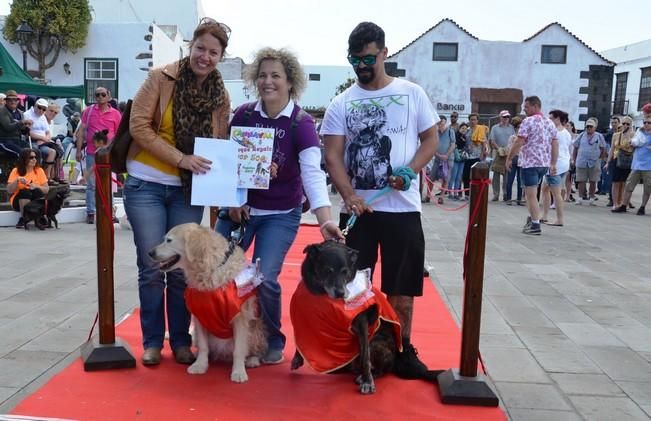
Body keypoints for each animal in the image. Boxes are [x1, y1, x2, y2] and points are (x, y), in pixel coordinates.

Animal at [150, 221, 268, 382]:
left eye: (169, 240)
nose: (150, 252)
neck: (209, 269)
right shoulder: (200, 314)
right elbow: (203, 346)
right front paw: (200, 365)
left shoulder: (240, 317)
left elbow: (239, 349)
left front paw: (238, 372)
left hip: (256, 330)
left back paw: (252, 360)